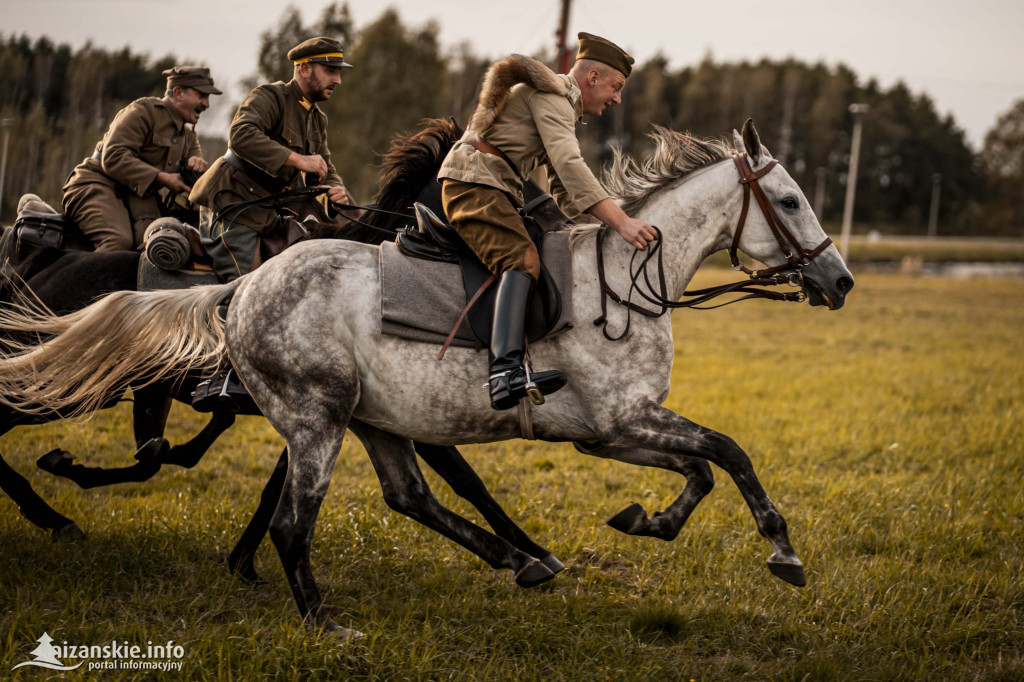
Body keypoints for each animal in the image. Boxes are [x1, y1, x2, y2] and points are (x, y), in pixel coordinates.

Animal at [0, 120, 856, 638]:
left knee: (406, 497)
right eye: (789, 200)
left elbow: (702, 471)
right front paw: (782, 552)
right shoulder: (621, 422)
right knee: (291, 521)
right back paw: (323, 621)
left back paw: (517, 562)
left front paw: (647, 520)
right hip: (317, 421)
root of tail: (241, 286)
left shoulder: (611, 432)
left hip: (371, 420)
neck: (624, 279)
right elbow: (730, 451)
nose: (841, 280)